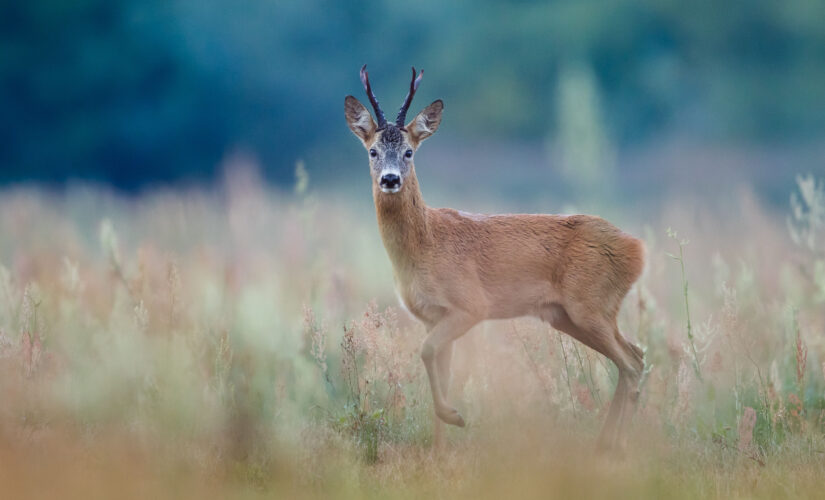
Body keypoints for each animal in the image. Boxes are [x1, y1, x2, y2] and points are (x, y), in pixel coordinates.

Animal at [344, 64, 648, 452]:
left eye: (410, 151)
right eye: (372, 151)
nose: (390, 179)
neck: (424, 246)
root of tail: (637, 249)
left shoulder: (470, 305)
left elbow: (426, 352)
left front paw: (456, 416)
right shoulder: (432, 317)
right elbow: (439, 368)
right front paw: (439, 449)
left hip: (590, 305)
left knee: (631, 363)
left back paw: (616, 446)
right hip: (571, 315)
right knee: (635, 355)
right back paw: (606, 443)